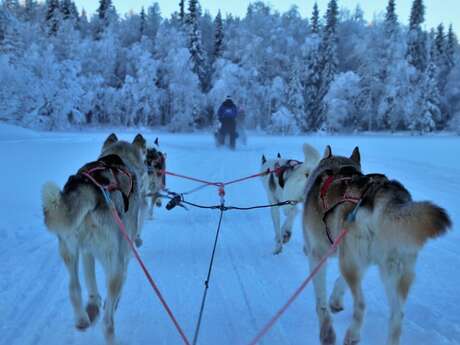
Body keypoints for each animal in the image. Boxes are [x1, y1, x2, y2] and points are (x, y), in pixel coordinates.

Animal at [42, 132, 147, 342]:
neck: (118, 157)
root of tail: (92, 188)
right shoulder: (124, 256)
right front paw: (108, 303)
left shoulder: (86, 252)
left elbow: (90, 282)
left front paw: (93, 305)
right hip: (114, 263)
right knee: (108, 323)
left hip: (68, 250)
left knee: (74, 288)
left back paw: (82, 319)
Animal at [304, 144, 452, 344]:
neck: (337, 168)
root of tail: (385, 196)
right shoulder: (355, 258)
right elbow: (339, 282)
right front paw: (335, 300)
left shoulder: (319, 255)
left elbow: (320, 301)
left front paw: (326, 331)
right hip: (393, 271)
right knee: (397, 315)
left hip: (353, 264)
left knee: (361, 305)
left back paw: (353, 334)